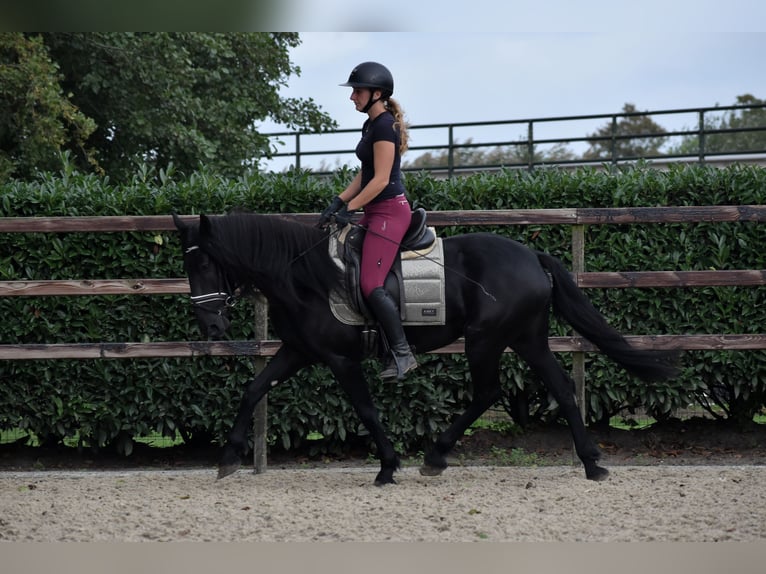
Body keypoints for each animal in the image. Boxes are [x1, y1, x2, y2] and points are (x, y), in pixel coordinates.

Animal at [172, 214, 680, 484]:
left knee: (488, 393)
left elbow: (366, 409)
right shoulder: (297, 351)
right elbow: (254, 389)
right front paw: (228, 458)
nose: (210, 324)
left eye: (204, 263)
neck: (305, 276)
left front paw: (387, 466)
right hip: (526, 338)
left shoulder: (340, 360)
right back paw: (591, 462)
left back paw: (436, 456)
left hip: (485, 340)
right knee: (560, 388)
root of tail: (532, 256)